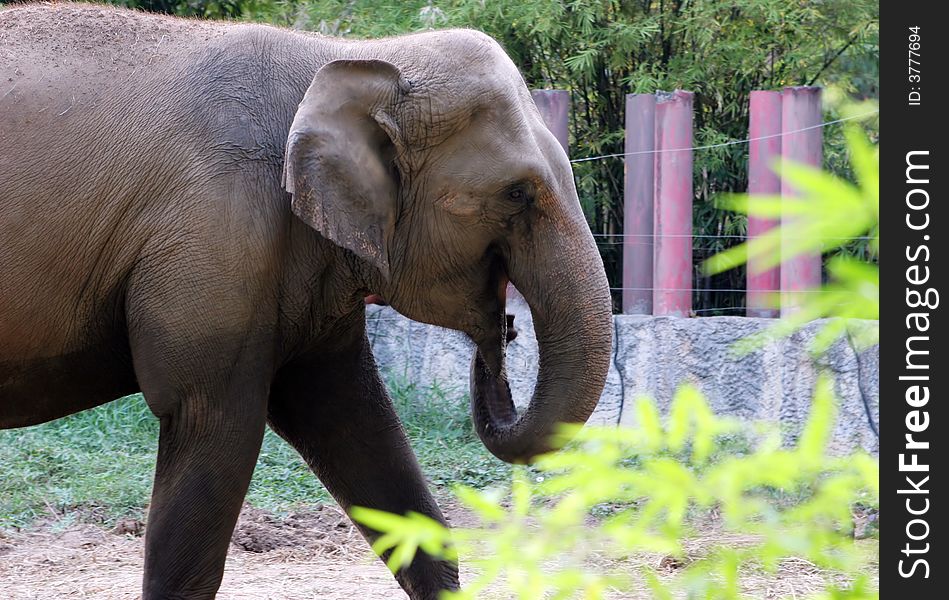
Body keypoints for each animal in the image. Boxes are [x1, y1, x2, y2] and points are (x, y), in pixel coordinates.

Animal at [0, 2, 608, 596]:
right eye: (518, 193)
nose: (504, 328)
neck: (343, 59)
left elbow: (348, 415)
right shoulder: (219, 231)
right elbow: (213, 417)